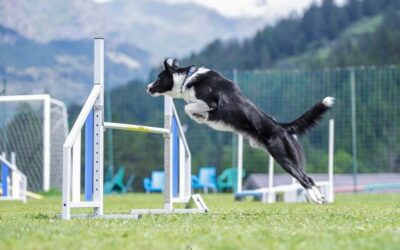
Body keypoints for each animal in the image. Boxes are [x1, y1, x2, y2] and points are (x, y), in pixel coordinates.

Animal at [147, 59, 334, 205]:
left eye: (158, 77)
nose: (147, 87)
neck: (187, 78)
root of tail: (281, 127)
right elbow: (190, 108)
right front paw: (200, 117)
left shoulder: (211, 103)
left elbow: (189, 108)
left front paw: (200, 117)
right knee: (308, 178)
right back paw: (320, 198)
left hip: (284, 158)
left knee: (305, 179)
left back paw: (316, 199)